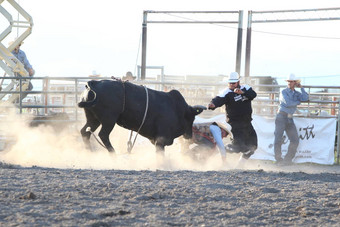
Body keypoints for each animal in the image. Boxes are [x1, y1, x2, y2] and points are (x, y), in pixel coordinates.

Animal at [77, 80, 205, 153]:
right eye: (191, 118)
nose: (189, 135)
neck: (176, 108)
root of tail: (94, 83)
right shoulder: (161, 138)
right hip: (109, 119)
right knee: (103, 134)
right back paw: (113, 153)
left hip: (93, 119)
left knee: (85, 132)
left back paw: (90, 152)